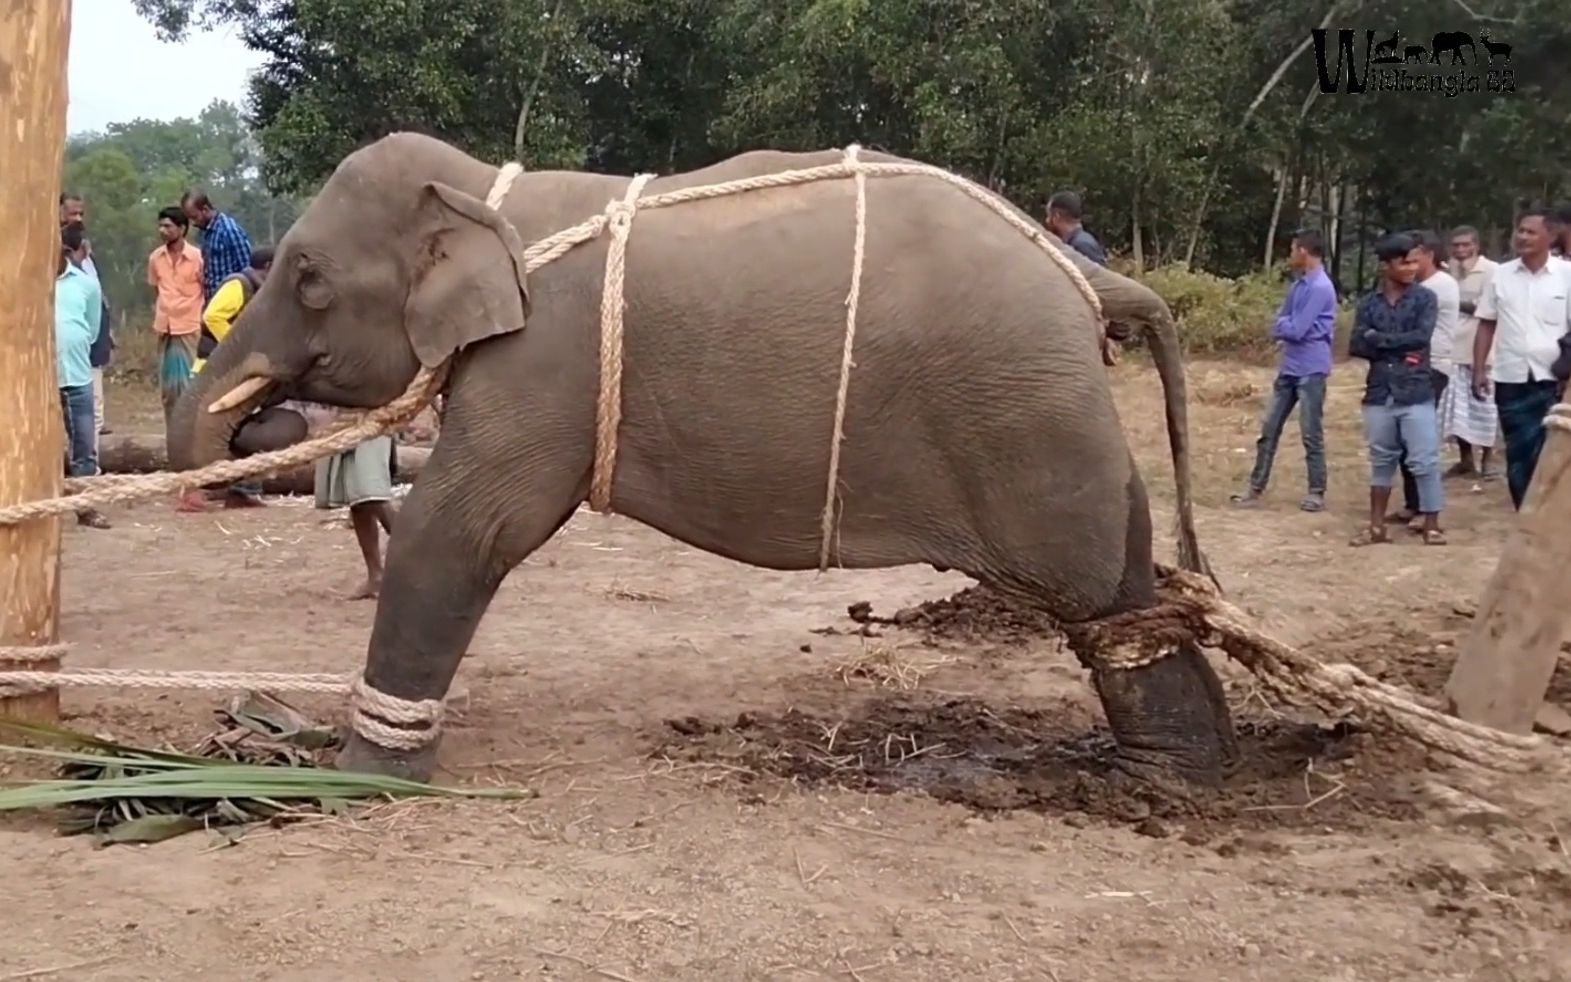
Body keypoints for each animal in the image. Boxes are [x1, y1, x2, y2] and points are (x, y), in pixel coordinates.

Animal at [172, 131, 1237, 788]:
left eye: (307, 278)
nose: (253, 433)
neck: (494, 192)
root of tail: (1089, 277)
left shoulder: (542, 363)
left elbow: (464, 528)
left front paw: (355, 775)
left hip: (1032, 419)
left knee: (1103, 596)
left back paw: (1158, 780)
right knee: (1128, 583)